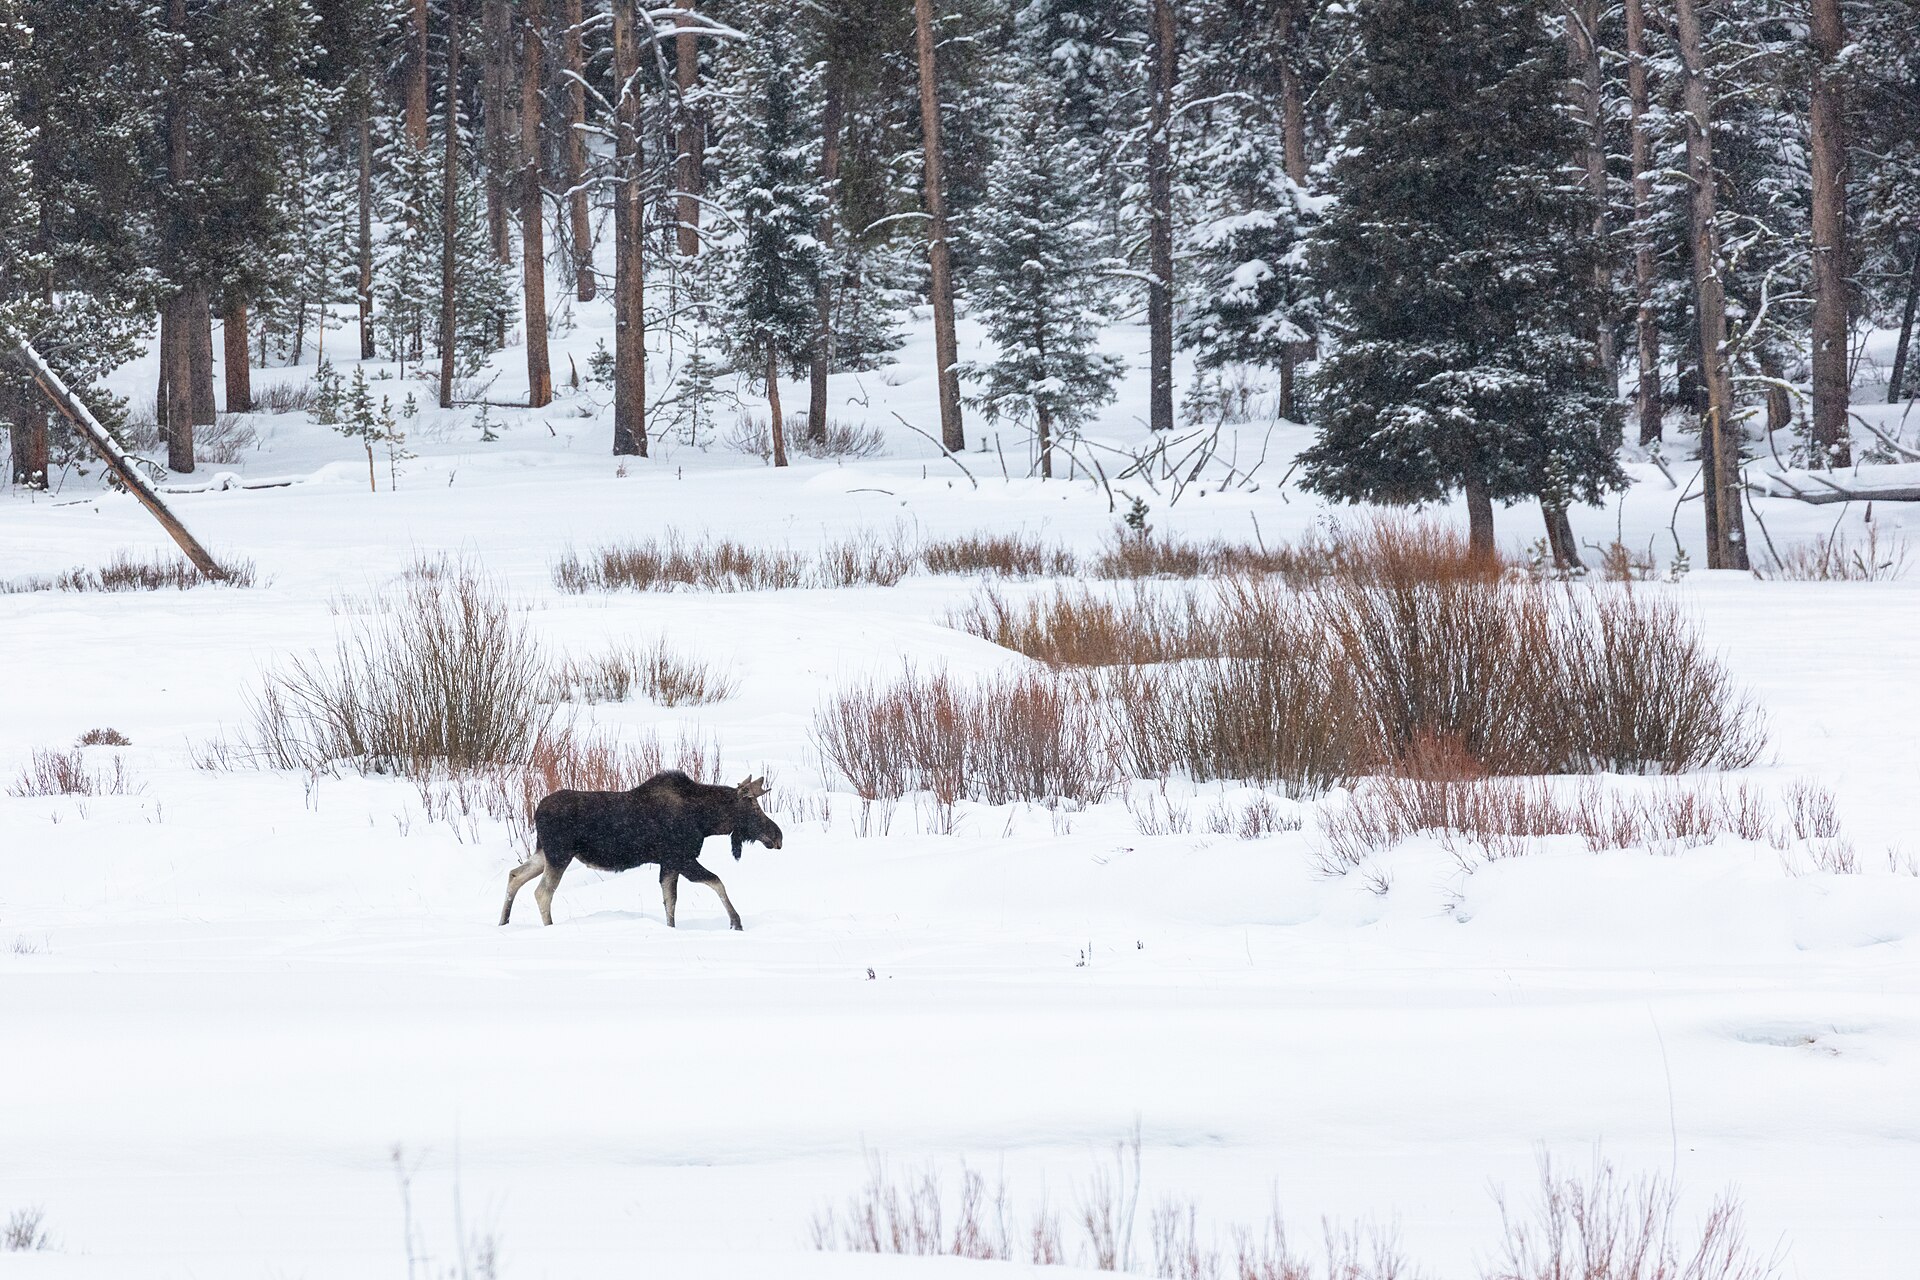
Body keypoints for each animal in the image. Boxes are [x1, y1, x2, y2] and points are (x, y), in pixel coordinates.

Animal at [498, 772, 783, 930]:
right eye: (754, 807)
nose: (778, 836)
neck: (705, 820)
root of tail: (536, 812)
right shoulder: (681, 857)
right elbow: (717, 882)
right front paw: (736, 922)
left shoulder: (668, 862)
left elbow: (670, 900)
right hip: (559, 854)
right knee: (542, 892)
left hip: (544, 852)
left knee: (515, 875)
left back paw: (503, 922)